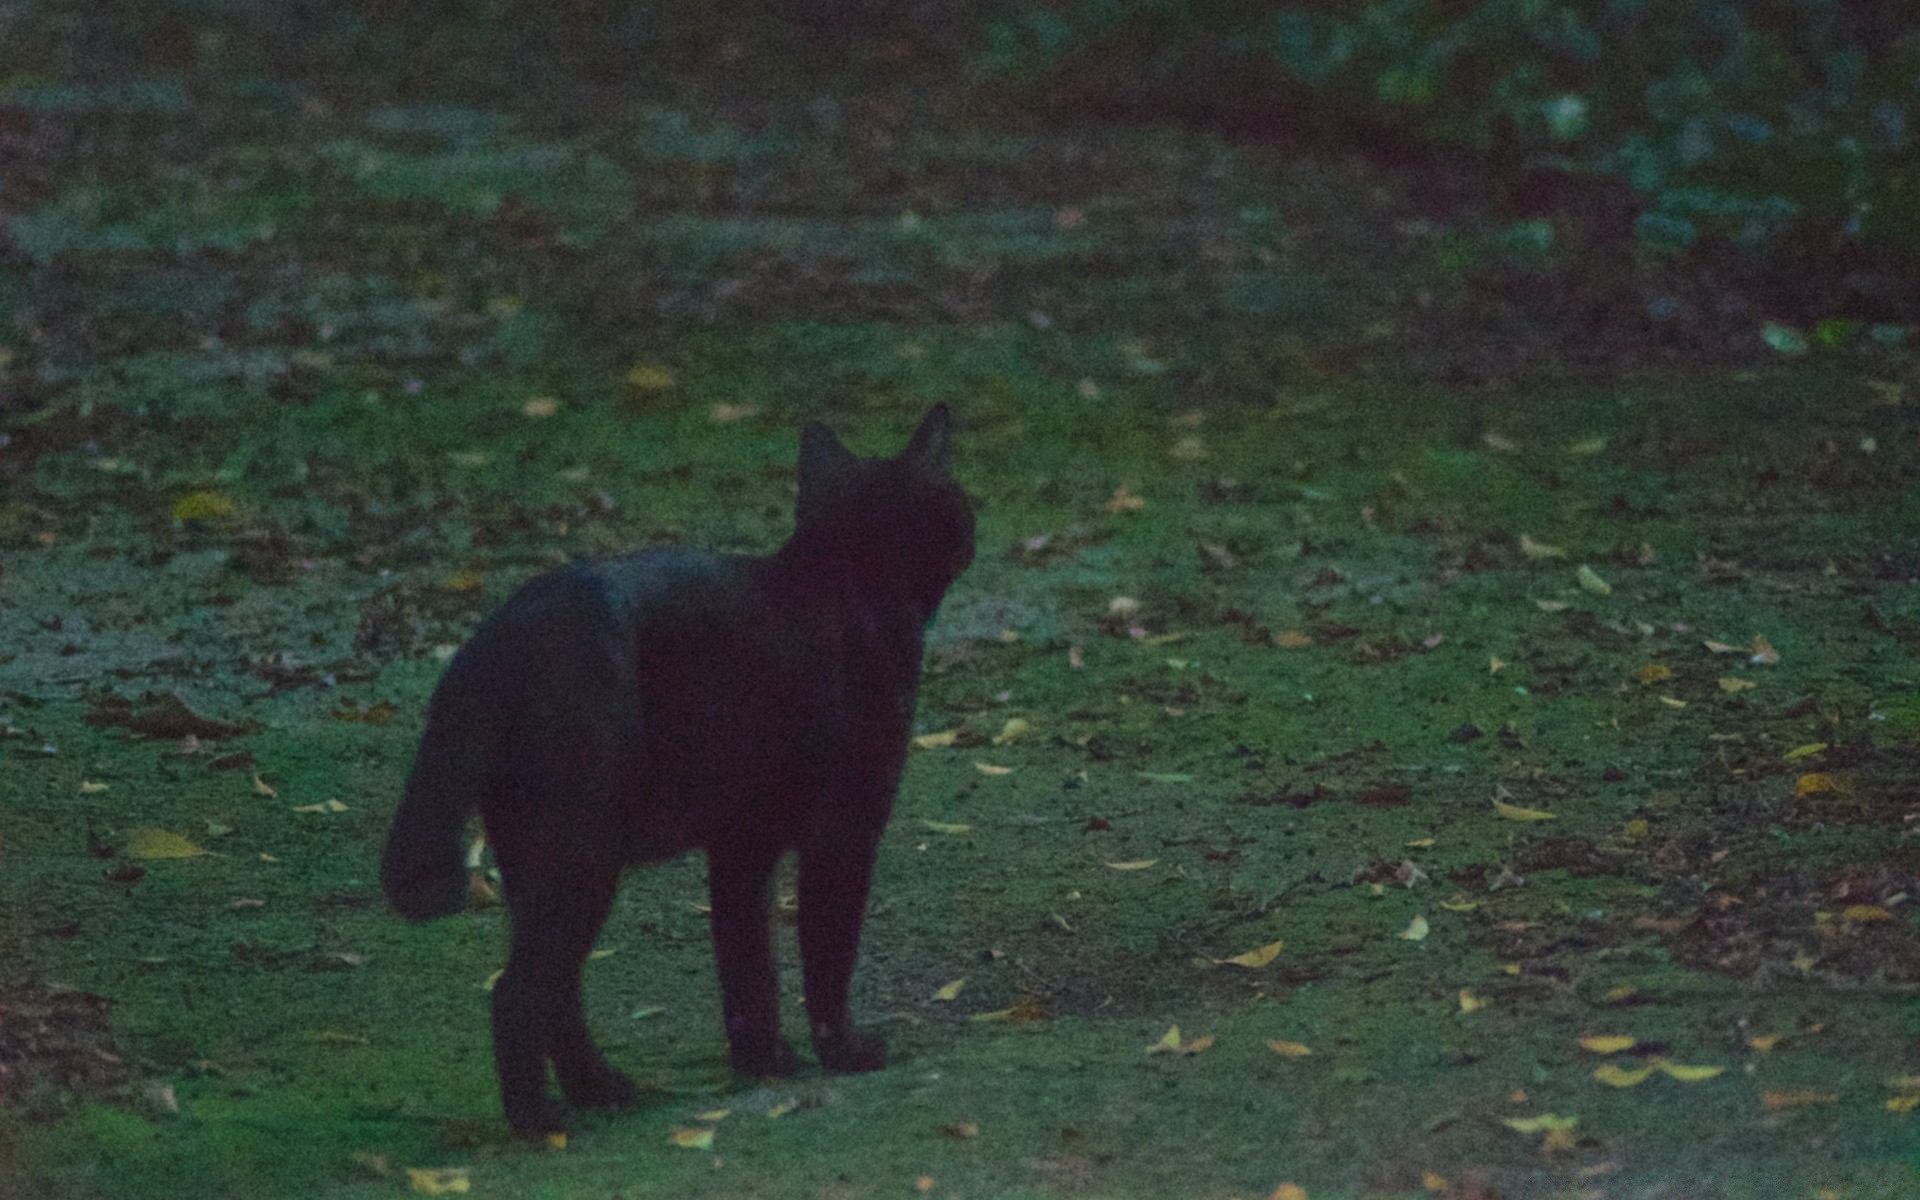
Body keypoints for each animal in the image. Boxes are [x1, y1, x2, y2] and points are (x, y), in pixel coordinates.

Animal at [378, 405, 975, 1128]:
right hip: (581, 852)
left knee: (557, 987)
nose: (970, 531)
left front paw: (763, 1060)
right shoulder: (844, 832)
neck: (848, 578)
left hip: (539, 859)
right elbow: (827, 951)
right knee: (518, 990)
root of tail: (497, 635)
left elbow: (745, 960)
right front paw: (845, 1052)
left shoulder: (743, 844)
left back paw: (601, 1090)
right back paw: (543, 1123)